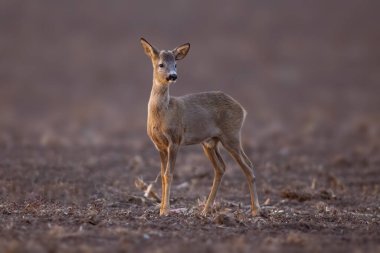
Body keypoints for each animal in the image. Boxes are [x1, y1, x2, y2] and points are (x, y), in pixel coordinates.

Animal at [140, 38, 262, 216]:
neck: (163, 113)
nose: (173, 76)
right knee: (221, 168)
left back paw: (255, 210)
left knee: (248, 166)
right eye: (161, 64)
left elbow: (169, 174)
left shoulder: (175, 140)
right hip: (210, 142)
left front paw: (166, 210)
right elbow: (162, 175)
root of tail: (242, 109)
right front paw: (161, 208)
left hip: (231, 136)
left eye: (176, 64)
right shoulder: (159, 145)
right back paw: (205, 210)